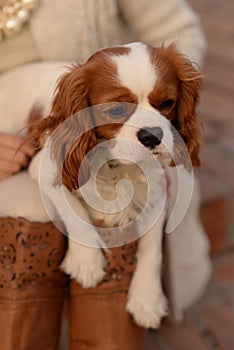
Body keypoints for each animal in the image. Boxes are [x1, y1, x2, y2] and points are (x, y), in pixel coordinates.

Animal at [27, 42, 201, 330]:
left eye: (167, 103)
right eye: (117, 111)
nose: (152, 135)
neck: (119, 165)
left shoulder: (156, 191)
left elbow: (152, 249)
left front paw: (147, 299)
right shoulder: (45, 169)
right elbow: (75, 212)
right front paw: (86, 261)